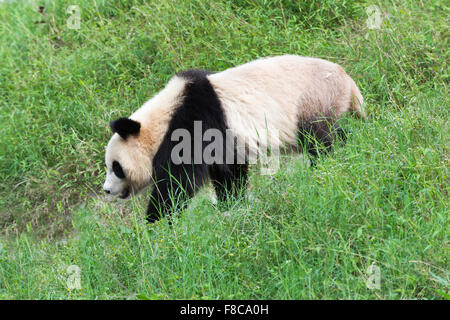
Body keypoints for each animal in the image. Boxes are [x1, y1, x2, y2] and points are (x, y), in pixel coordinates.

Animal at [103, 54, 364, 222]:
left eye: (116, 167)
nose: (106, 190)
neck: (162, 120)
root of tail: (348, 81)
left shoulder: (193, 123)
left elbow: (178, 182)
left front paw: (156, 221)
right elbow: (228, 171)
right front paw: (231, 203)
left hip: (312, 100)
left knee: (319, 140)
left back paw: (326, 166)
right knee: (336, 133)